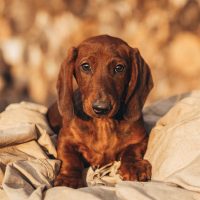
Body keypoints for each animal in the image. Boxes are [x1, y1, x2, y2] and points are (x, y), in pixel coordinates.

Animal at [47, 34, 154, 188]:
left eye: (119, 68)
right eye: (85, 66)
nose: (101, 108)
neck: (103, 124)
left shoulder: (141, 138)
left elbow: (131, 150)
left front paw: (134, 166)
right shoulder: (65, 139)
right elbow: (70, 159)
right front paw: (69, 178)